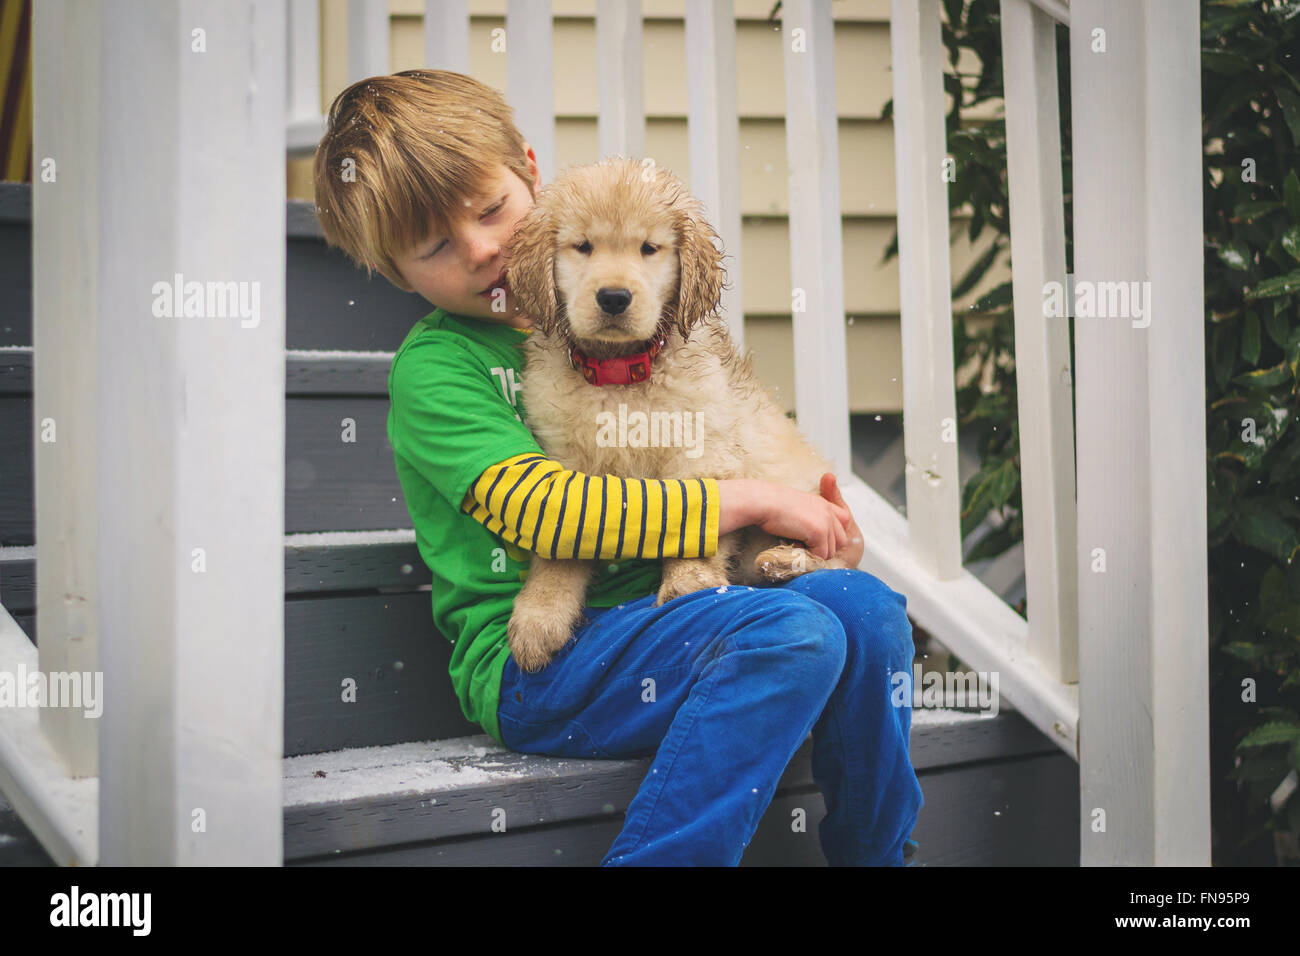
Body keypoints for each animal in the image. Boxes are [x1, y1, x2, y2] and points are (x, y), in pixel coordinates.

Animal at [501, 157, 847, 671]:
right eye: (583, 246)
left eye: (649, 248)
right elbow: (558, 547)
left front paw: (688, 583)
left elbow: (700, 513)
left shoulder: (704, 451)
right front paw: (539, 617)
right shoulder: (566, 471)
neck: (620, 374)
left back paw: (785, 561)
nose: (614, 298)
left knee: (839, 560)